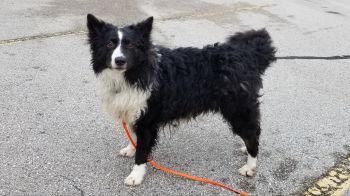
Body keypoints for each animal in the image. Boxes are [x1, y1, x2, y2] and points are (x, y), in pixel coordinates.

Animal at [86, 13, 274, 185]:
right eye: (109, 44)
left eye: (130, 45)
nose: (120, 60)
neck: (135, 73)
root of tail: (245, 55)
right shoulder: (134, 112)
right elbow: (134, 136)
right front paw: (130, 148)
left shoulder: (147, 121)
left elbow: (142, 151)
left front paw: (136, 175)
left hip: (238, 109)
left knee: (253, 134)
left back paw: (250, 165)